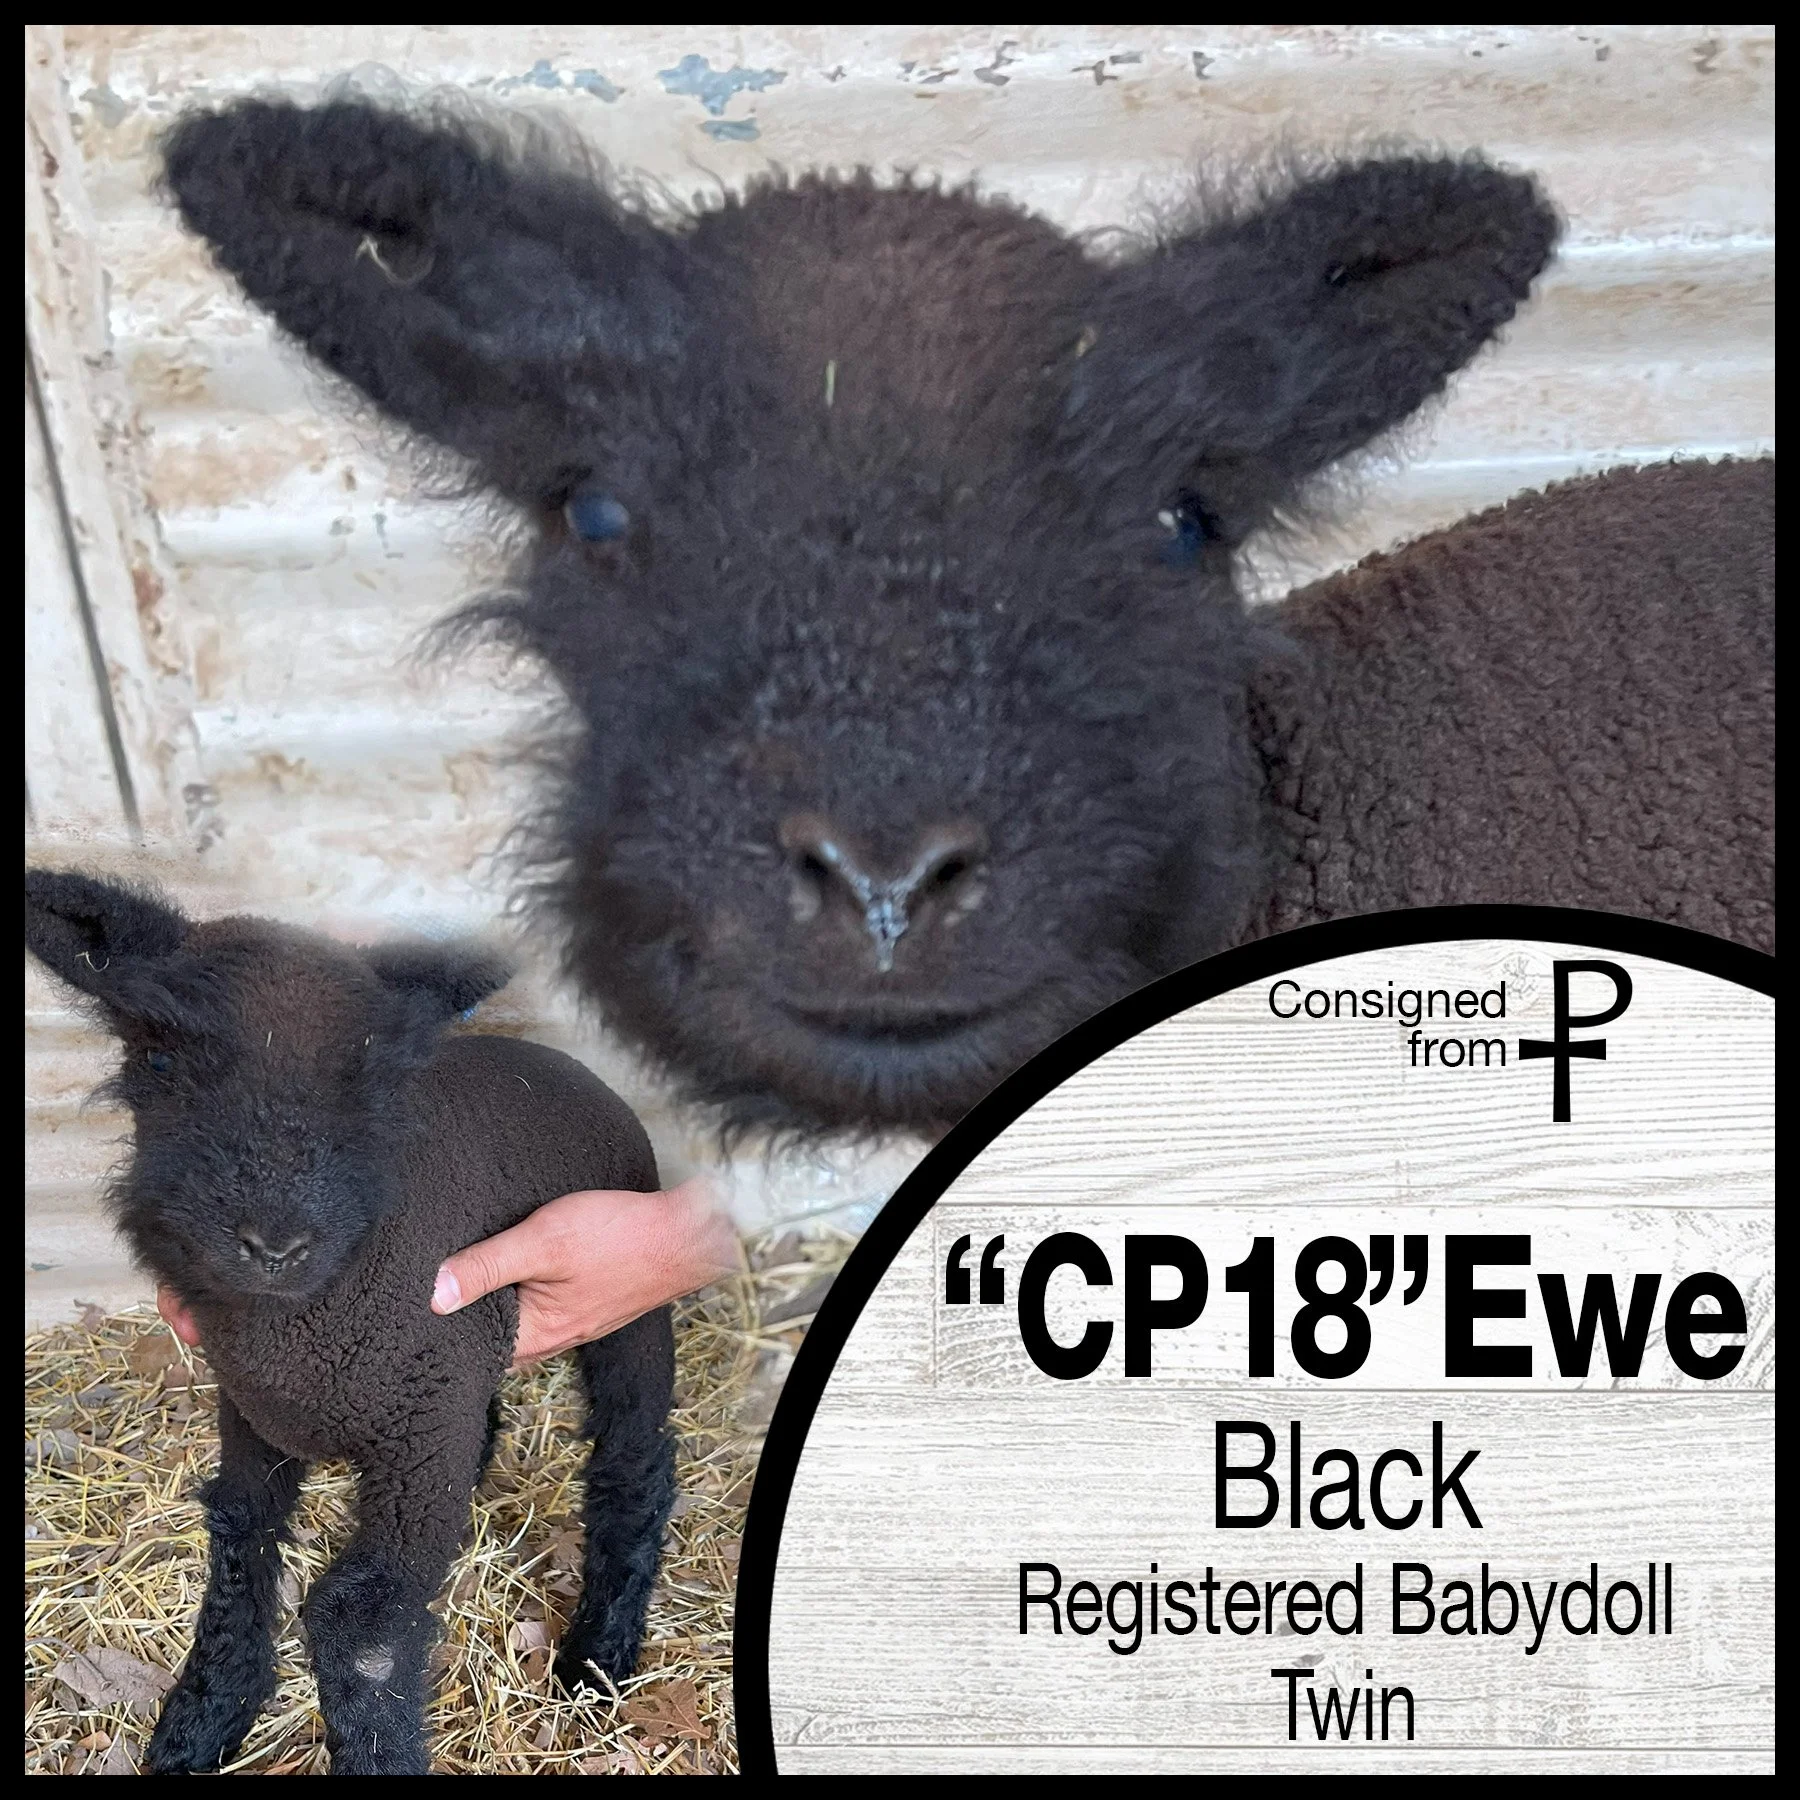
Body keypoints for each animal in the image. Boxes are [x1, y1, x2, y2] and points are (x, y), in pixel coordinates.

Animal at [23, 869, 676, 1776]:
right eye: (157, 1058)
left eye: (371, 1082)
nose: (274, 1244)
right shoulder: (256, 1416)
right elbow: (238, 1540)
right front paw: (201, 1718)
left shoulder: (421, 1442)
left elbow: (360, 1622)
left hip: (630, 1306)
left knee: (634, 1464)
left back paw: (597, 1657)